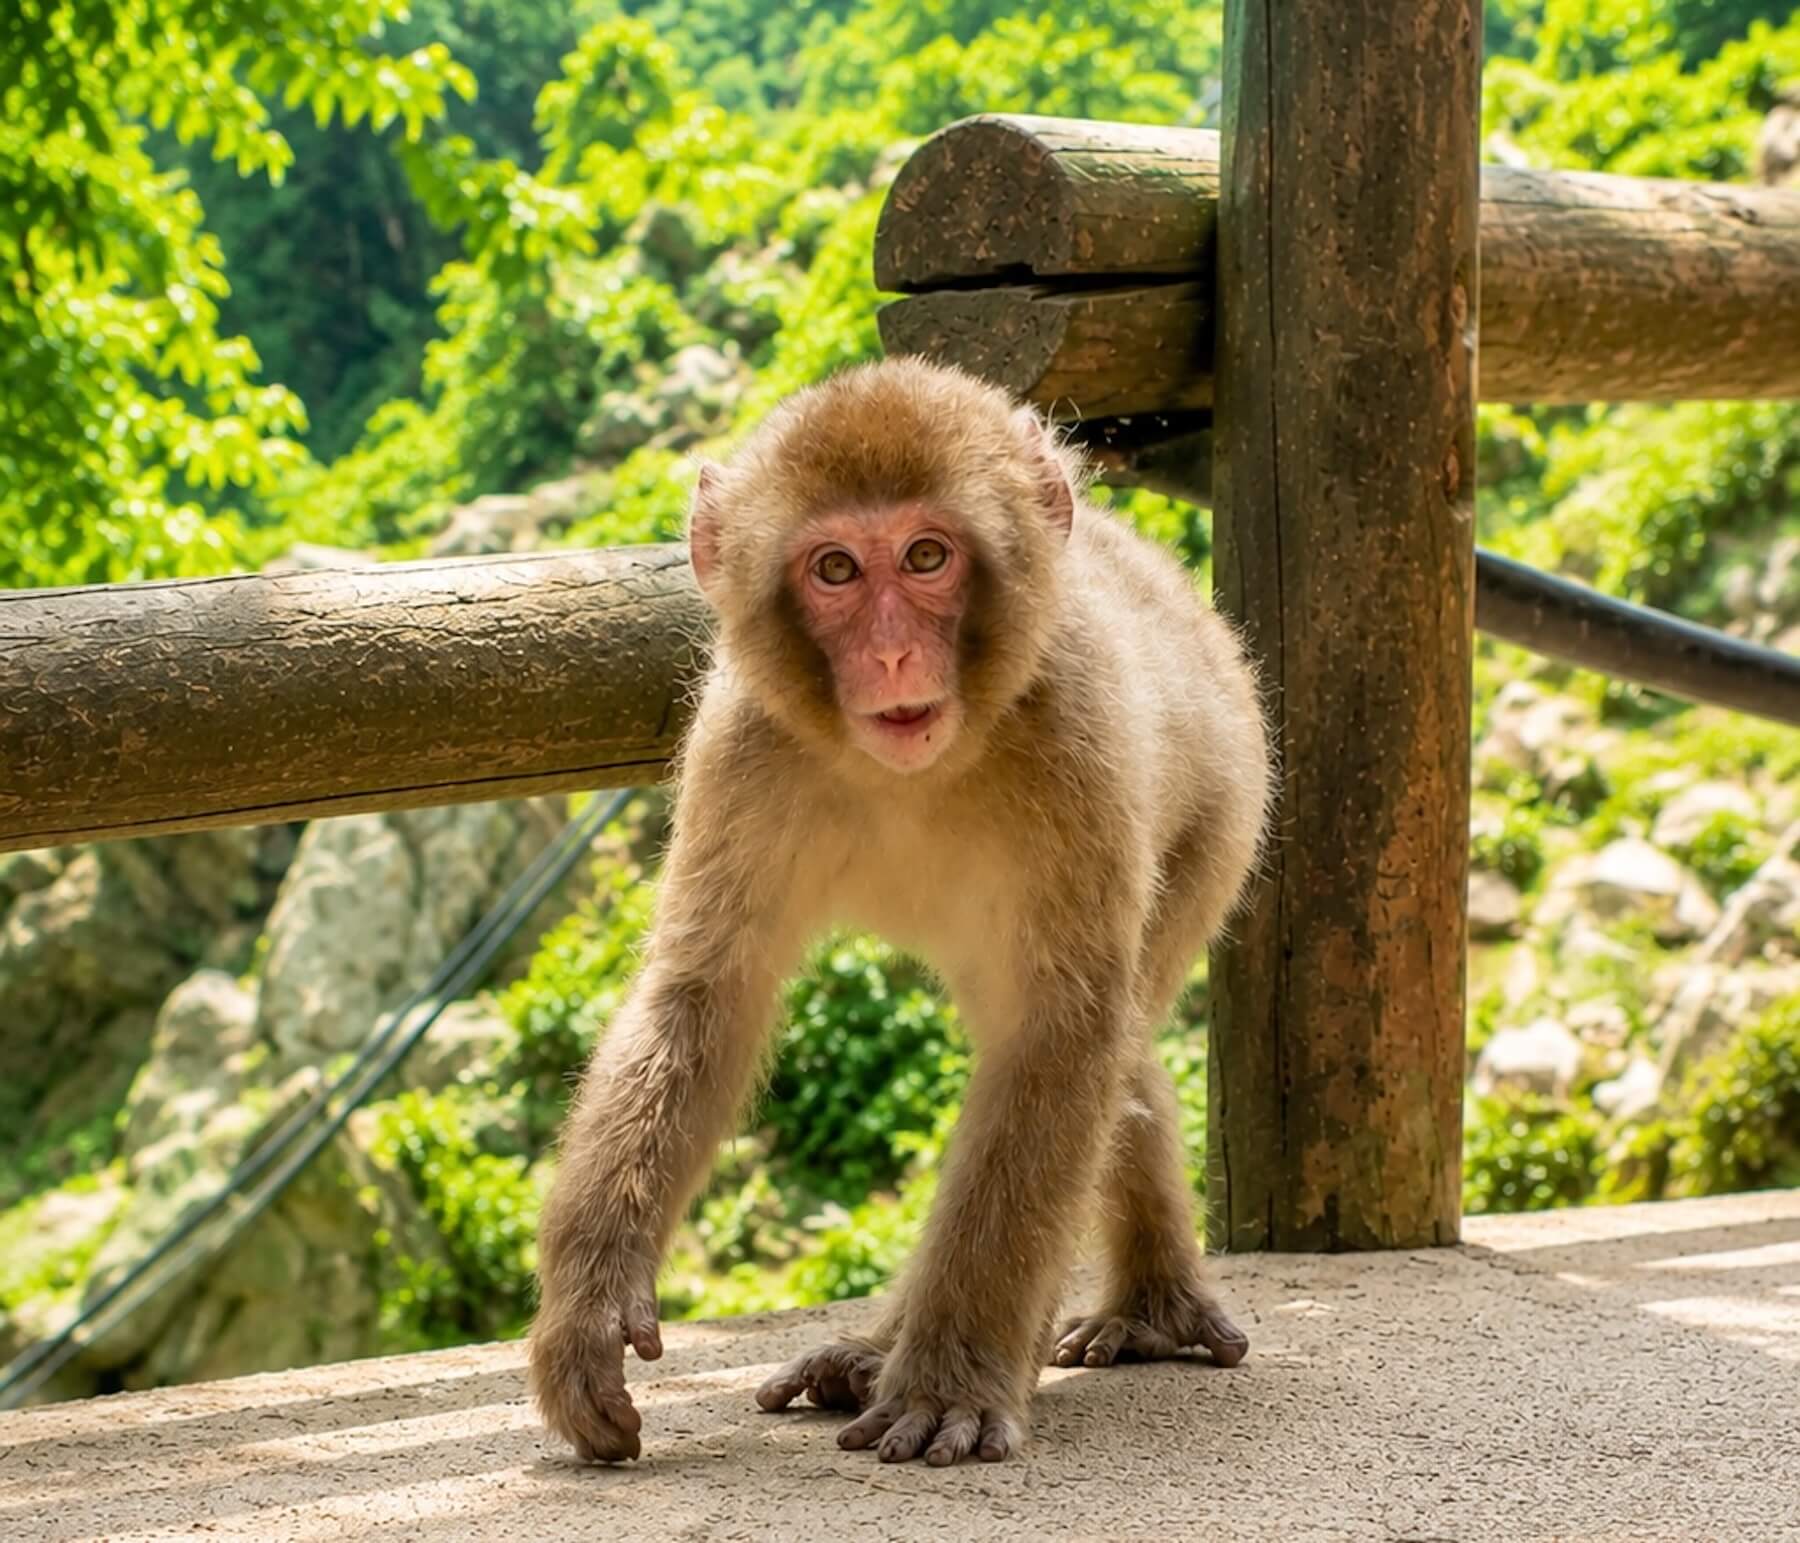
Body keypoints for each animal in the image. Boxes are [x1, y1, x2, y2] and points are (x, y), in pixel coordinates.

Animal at [527, 357, 1273, 1468]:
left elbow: (1059, 1032)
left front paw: (948, 1383)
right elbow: (705, 992)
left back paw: (1131, 1312)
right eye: (835, 569)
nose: (888, 657)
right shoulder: (746, 741)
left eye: (927, 556)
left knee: (1106, 1032)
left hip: (1222, 817)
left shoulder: (1077, 734)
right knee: (1120, 1064)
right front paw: (590, 1307)